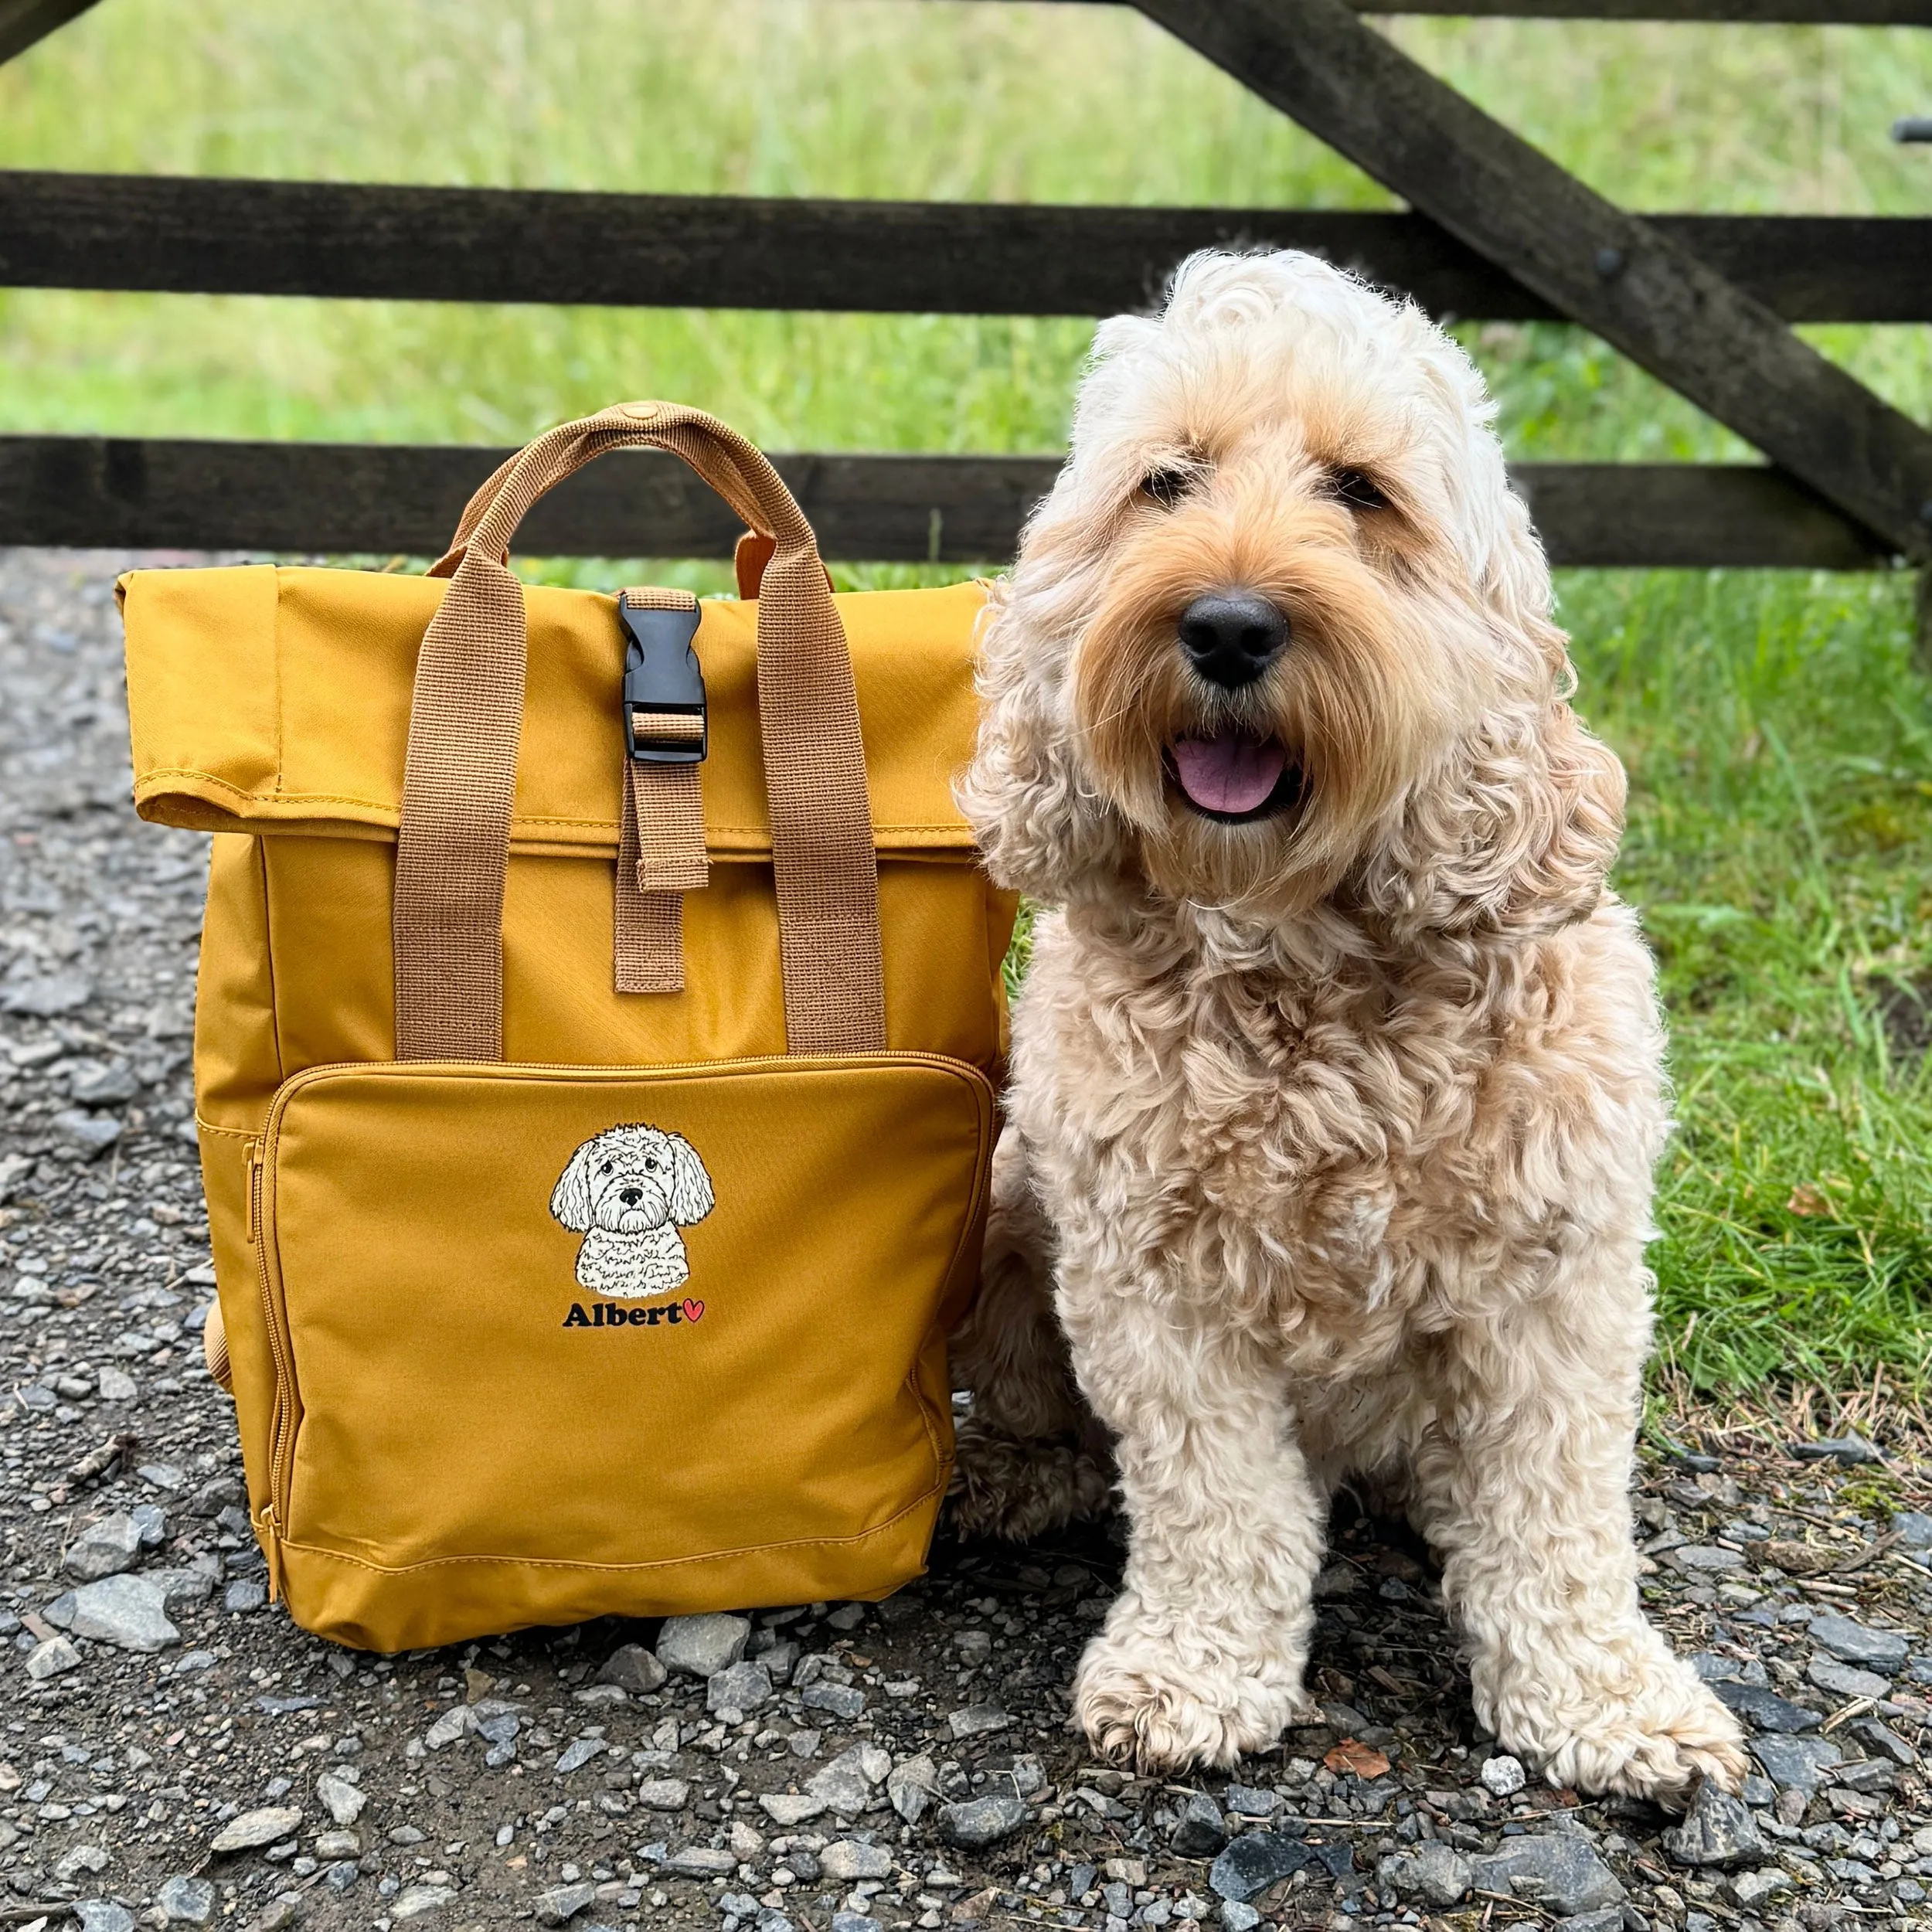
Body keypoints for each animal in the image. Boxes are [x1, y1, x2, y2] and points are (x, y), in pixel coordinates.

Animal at [951, 249, 1754, 1801]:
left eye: (1363, 491)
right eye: (1166, 482)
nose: (1226, 625)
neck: (1299, 960)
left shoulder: (1561, 1282)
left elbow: (1559, 1512)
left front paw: (1605, 1700)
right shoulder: (1153, 1286)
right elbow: (1216, 1504)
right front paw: (1194, 1676)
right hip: (1014, 1198)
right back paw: (1027, 1473)